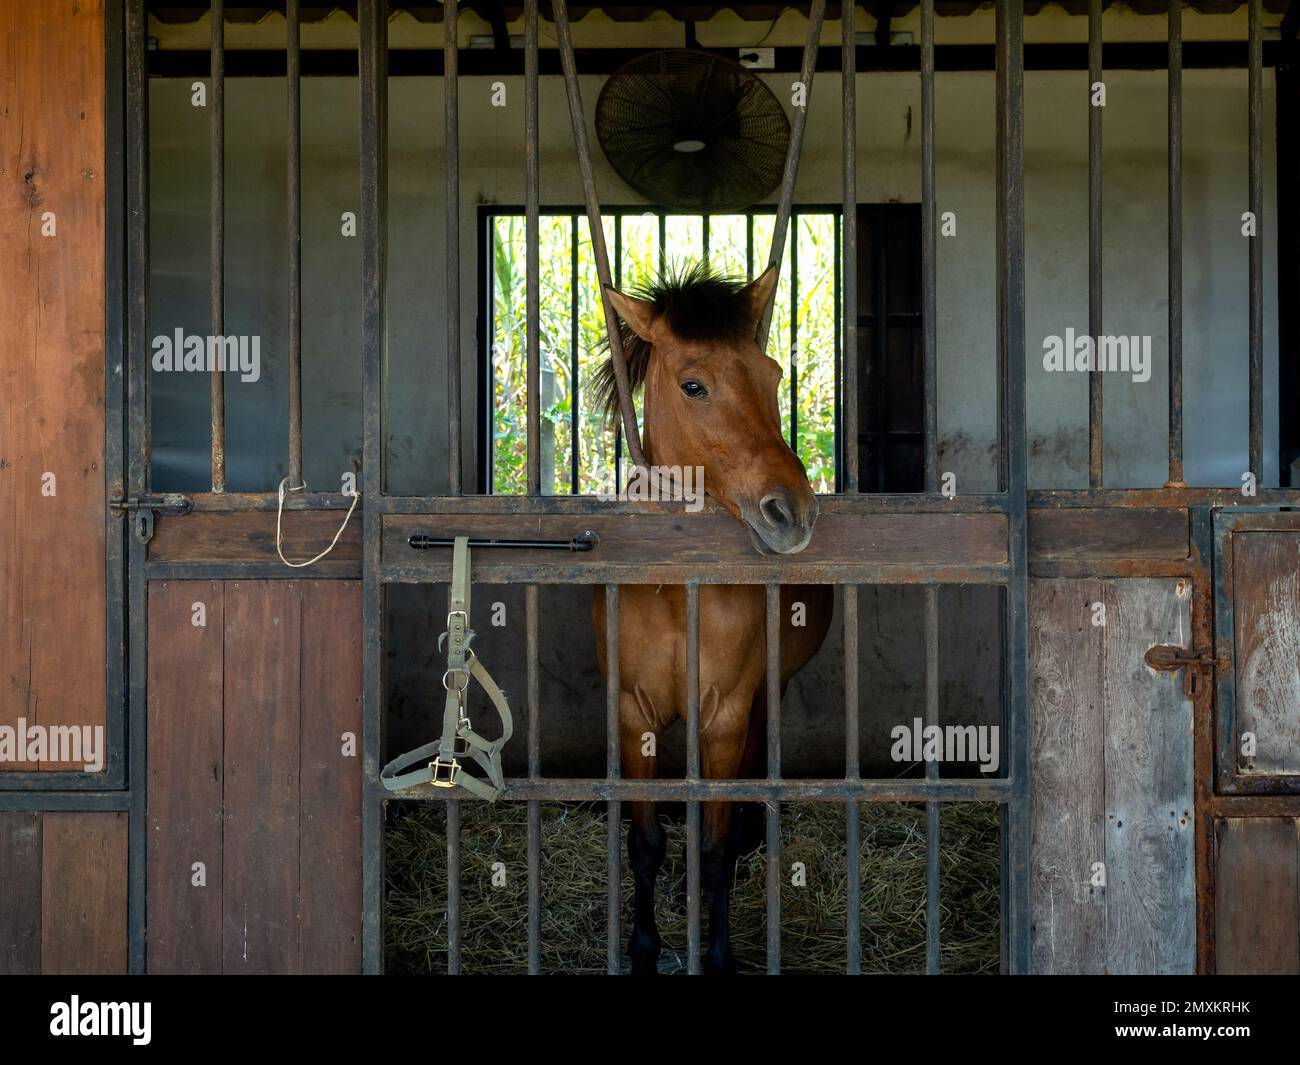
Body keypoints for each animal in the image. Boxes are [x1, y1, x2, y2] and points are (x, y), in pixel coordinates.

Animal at [592, 262, 833, 974]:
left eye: (773, 374)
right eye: (693, 385)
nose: (793, 512)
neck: (677, 591)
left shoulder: (725, 713)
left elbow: (717, 848)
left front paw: (719, 954)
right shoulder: (633, 714)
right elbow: (645, 844)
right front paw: (644, 948)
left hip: (764, 694)